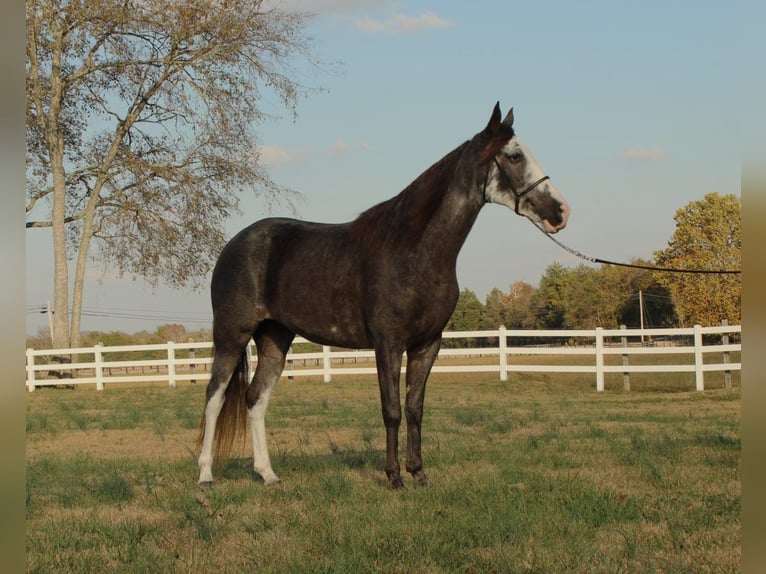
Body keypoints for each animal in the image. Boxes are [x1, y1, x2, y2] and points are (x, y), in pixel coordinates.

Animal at [198, 103, 568, 490]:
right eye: (514, 156)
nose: (560, 212)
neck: (414, 250)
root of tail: (234, 245)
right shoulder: (388, 344)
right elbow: (391, 410)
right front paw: (394, 476)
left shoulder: (427, 345)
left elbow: (415, 409)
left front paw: (418, 473)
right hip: (231, 335)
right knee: (214, 396)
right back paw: (206, 475)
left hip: (275, 339)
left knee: (255, 399)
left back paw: (267, 474)